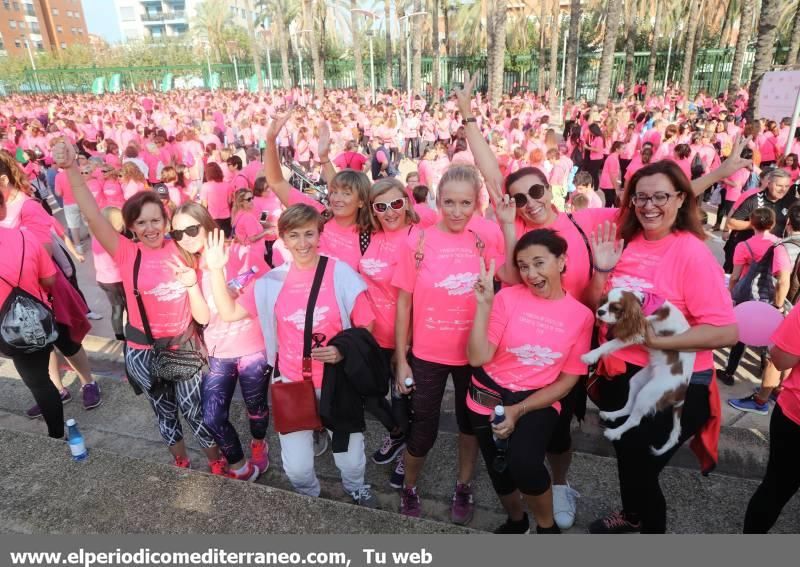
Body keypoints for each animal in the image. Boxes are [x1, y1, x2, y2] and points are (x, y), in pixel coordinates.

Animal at [580, 288, 696, 458]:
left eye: (616, 308)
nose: (600, 311)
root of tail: (682, 391)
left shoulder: (636, 333)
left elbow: (608, 345)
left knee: (635, 420)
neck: (643, 304)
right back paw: (611, 415)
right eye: (604, 301)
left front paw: (590, 356)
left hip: (650, 393)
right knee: (630, 407)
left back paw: (614, 433)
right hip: (638, 381)